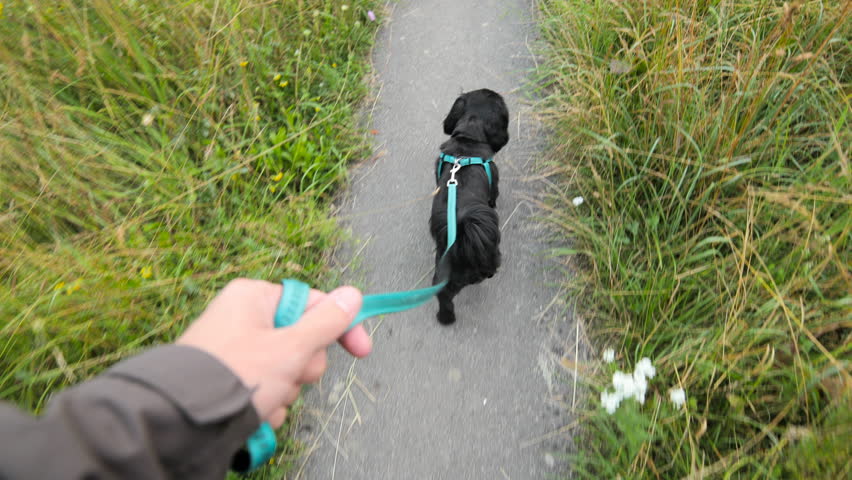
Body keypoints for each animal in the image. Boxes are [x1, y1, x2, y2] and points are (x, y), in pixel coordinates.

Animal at [430, 88, 510, 324]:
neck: (468, 141)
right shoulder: (495, 183)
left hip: (442, 275)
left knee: (444, 296)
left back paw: (446, 318)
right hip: (490, 254)